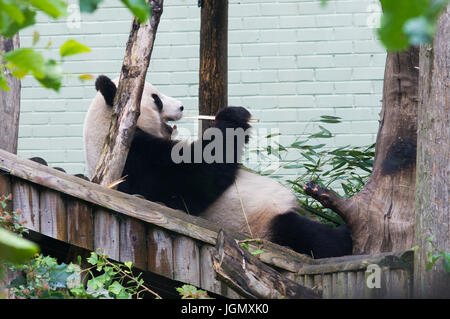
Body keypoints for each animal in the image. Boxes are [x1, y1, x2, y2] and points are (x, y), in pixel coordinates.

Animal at [84, 75, 352, 260]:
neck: (110, 134)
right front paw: (234, 116)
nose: (181, 107)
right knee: (309, 236)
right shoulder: (136, 162)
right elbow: (194, 179)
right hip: (262, 223)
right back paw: (343, 235)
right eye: (156, 98)